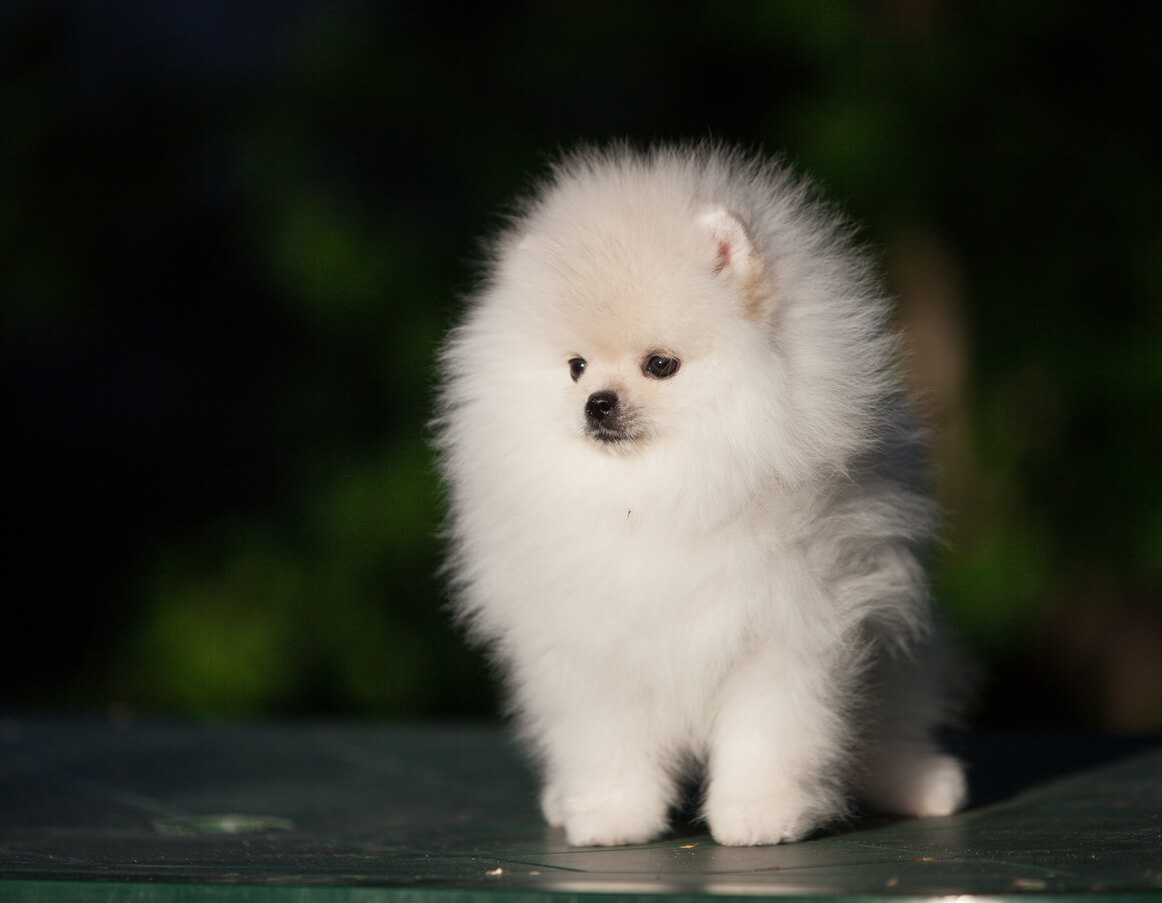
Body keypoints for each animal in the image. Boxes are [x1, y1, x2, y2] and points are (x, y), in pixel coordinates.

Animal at [432, 144, 966, 850]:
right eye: (576, 367)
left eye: (660, 365)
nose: (597, 403)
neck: (660, 492)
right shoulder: (592, 642)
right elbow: (606, 741)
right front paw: (612, 815)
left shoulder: (784, 628)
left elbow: (769, 734)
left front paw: (760, 813)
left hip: (904, 658)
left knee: (895, 728)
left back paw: (921, 784)